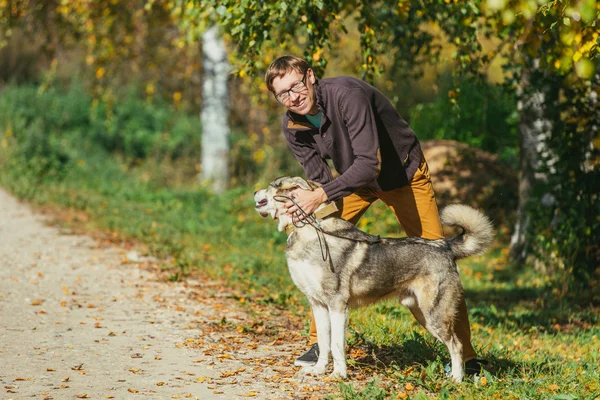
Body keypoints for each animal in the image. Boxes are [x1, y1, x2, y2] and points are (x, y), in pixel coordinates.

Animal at [253, 176, 492, 382]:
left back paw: (456, 380)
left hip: (435, 314)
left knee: (457, 345)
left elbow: (337, 345)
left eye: (272, 185)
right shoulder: (318, 304)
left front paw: (339, 374)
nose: (255, 192)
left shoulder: (337, 305)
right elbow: (324, 342)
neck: (308, 230)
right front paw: (319, 370)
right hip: (421, 314)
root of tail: (445, 246)